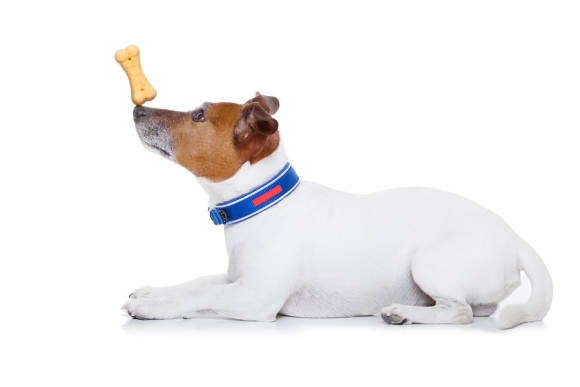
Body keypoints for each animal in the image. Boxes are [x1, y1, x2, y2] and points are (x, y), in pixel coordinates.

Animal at [122, 92, 552, 328]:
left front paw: (153, 308)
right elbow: (196, 283)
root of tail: (515, 237)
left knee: (460, 312)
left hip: (429, 264)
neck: (262, 202)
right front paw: (152, 292)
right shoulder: (235, 280)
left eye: (198, 115)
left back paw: (403, 313)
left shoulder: (256, 297)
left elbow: (197, 296)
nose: (137, 110)